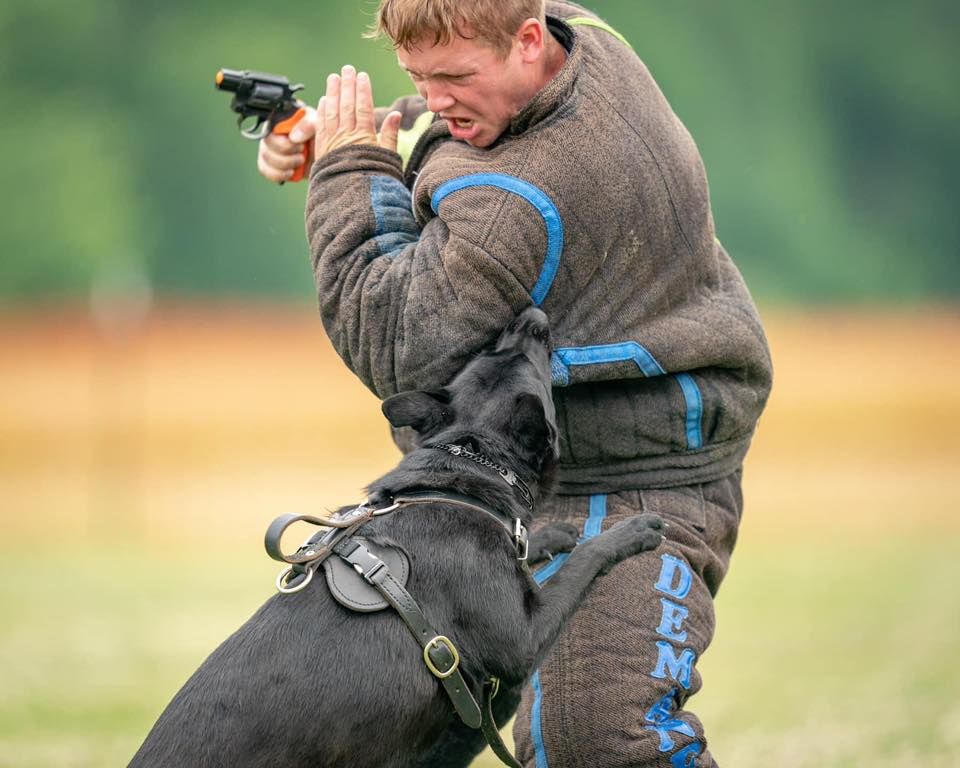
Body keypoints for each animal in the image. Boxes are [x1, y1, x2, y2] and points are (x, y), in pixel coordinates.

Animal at [131, 308, 664, 764]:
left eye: (492, 352)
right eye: (526, 360)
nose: (529, 314)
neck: (465, 461)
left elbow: (534, 552)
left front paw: (552, 534)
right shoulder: (523, 641)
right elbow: (583, 563)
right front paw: (632, 531)